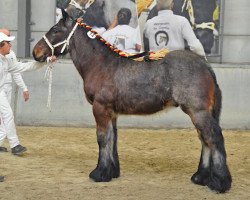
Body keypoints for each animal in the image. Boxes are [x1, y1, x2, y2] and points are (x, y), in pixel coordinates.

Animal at [32, 10, 231, 193]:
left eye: (55, 30)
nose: (36, 52)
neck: (100, 65)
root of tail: (205, 65)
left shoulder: (100, 109)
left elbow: (102, 138)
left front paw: (99, 173)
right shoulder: (111, 113)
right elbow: (113, 138)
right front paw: (111, 172)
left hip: (198, 111)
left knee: (213, 138)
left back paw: (219, 183)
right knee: (204, 139)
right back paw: (200, 177)